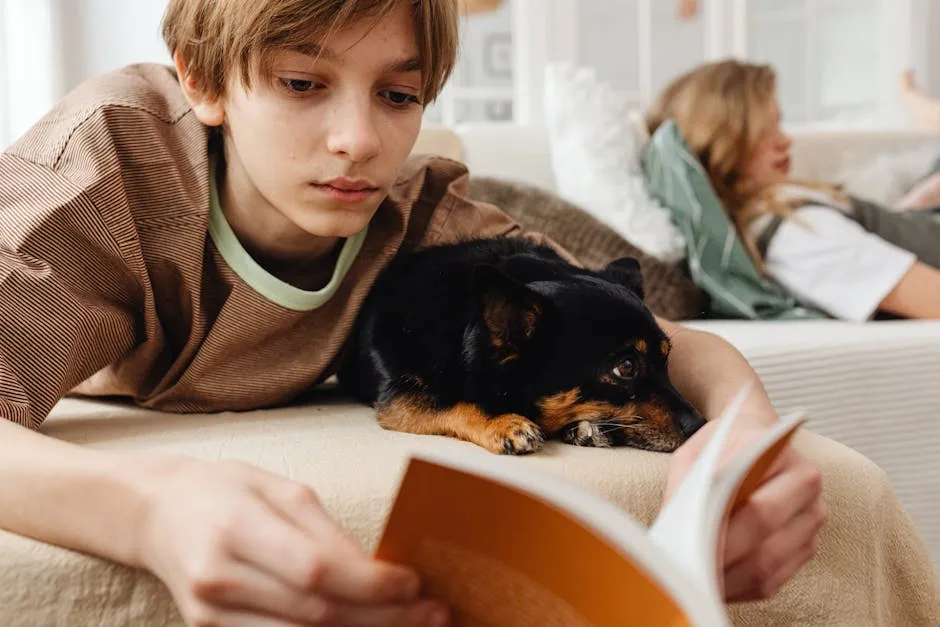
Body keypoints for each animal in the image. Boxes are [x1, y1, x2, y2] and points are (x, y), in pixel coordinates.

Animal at [338, 238, 704, 454]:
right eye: (626, 367)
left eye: (667, 360)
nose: (700, 427)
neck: (467, 321)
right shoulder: (400, 397)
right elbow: (450, 401)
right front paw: (503, 423)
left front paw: (586, 427)